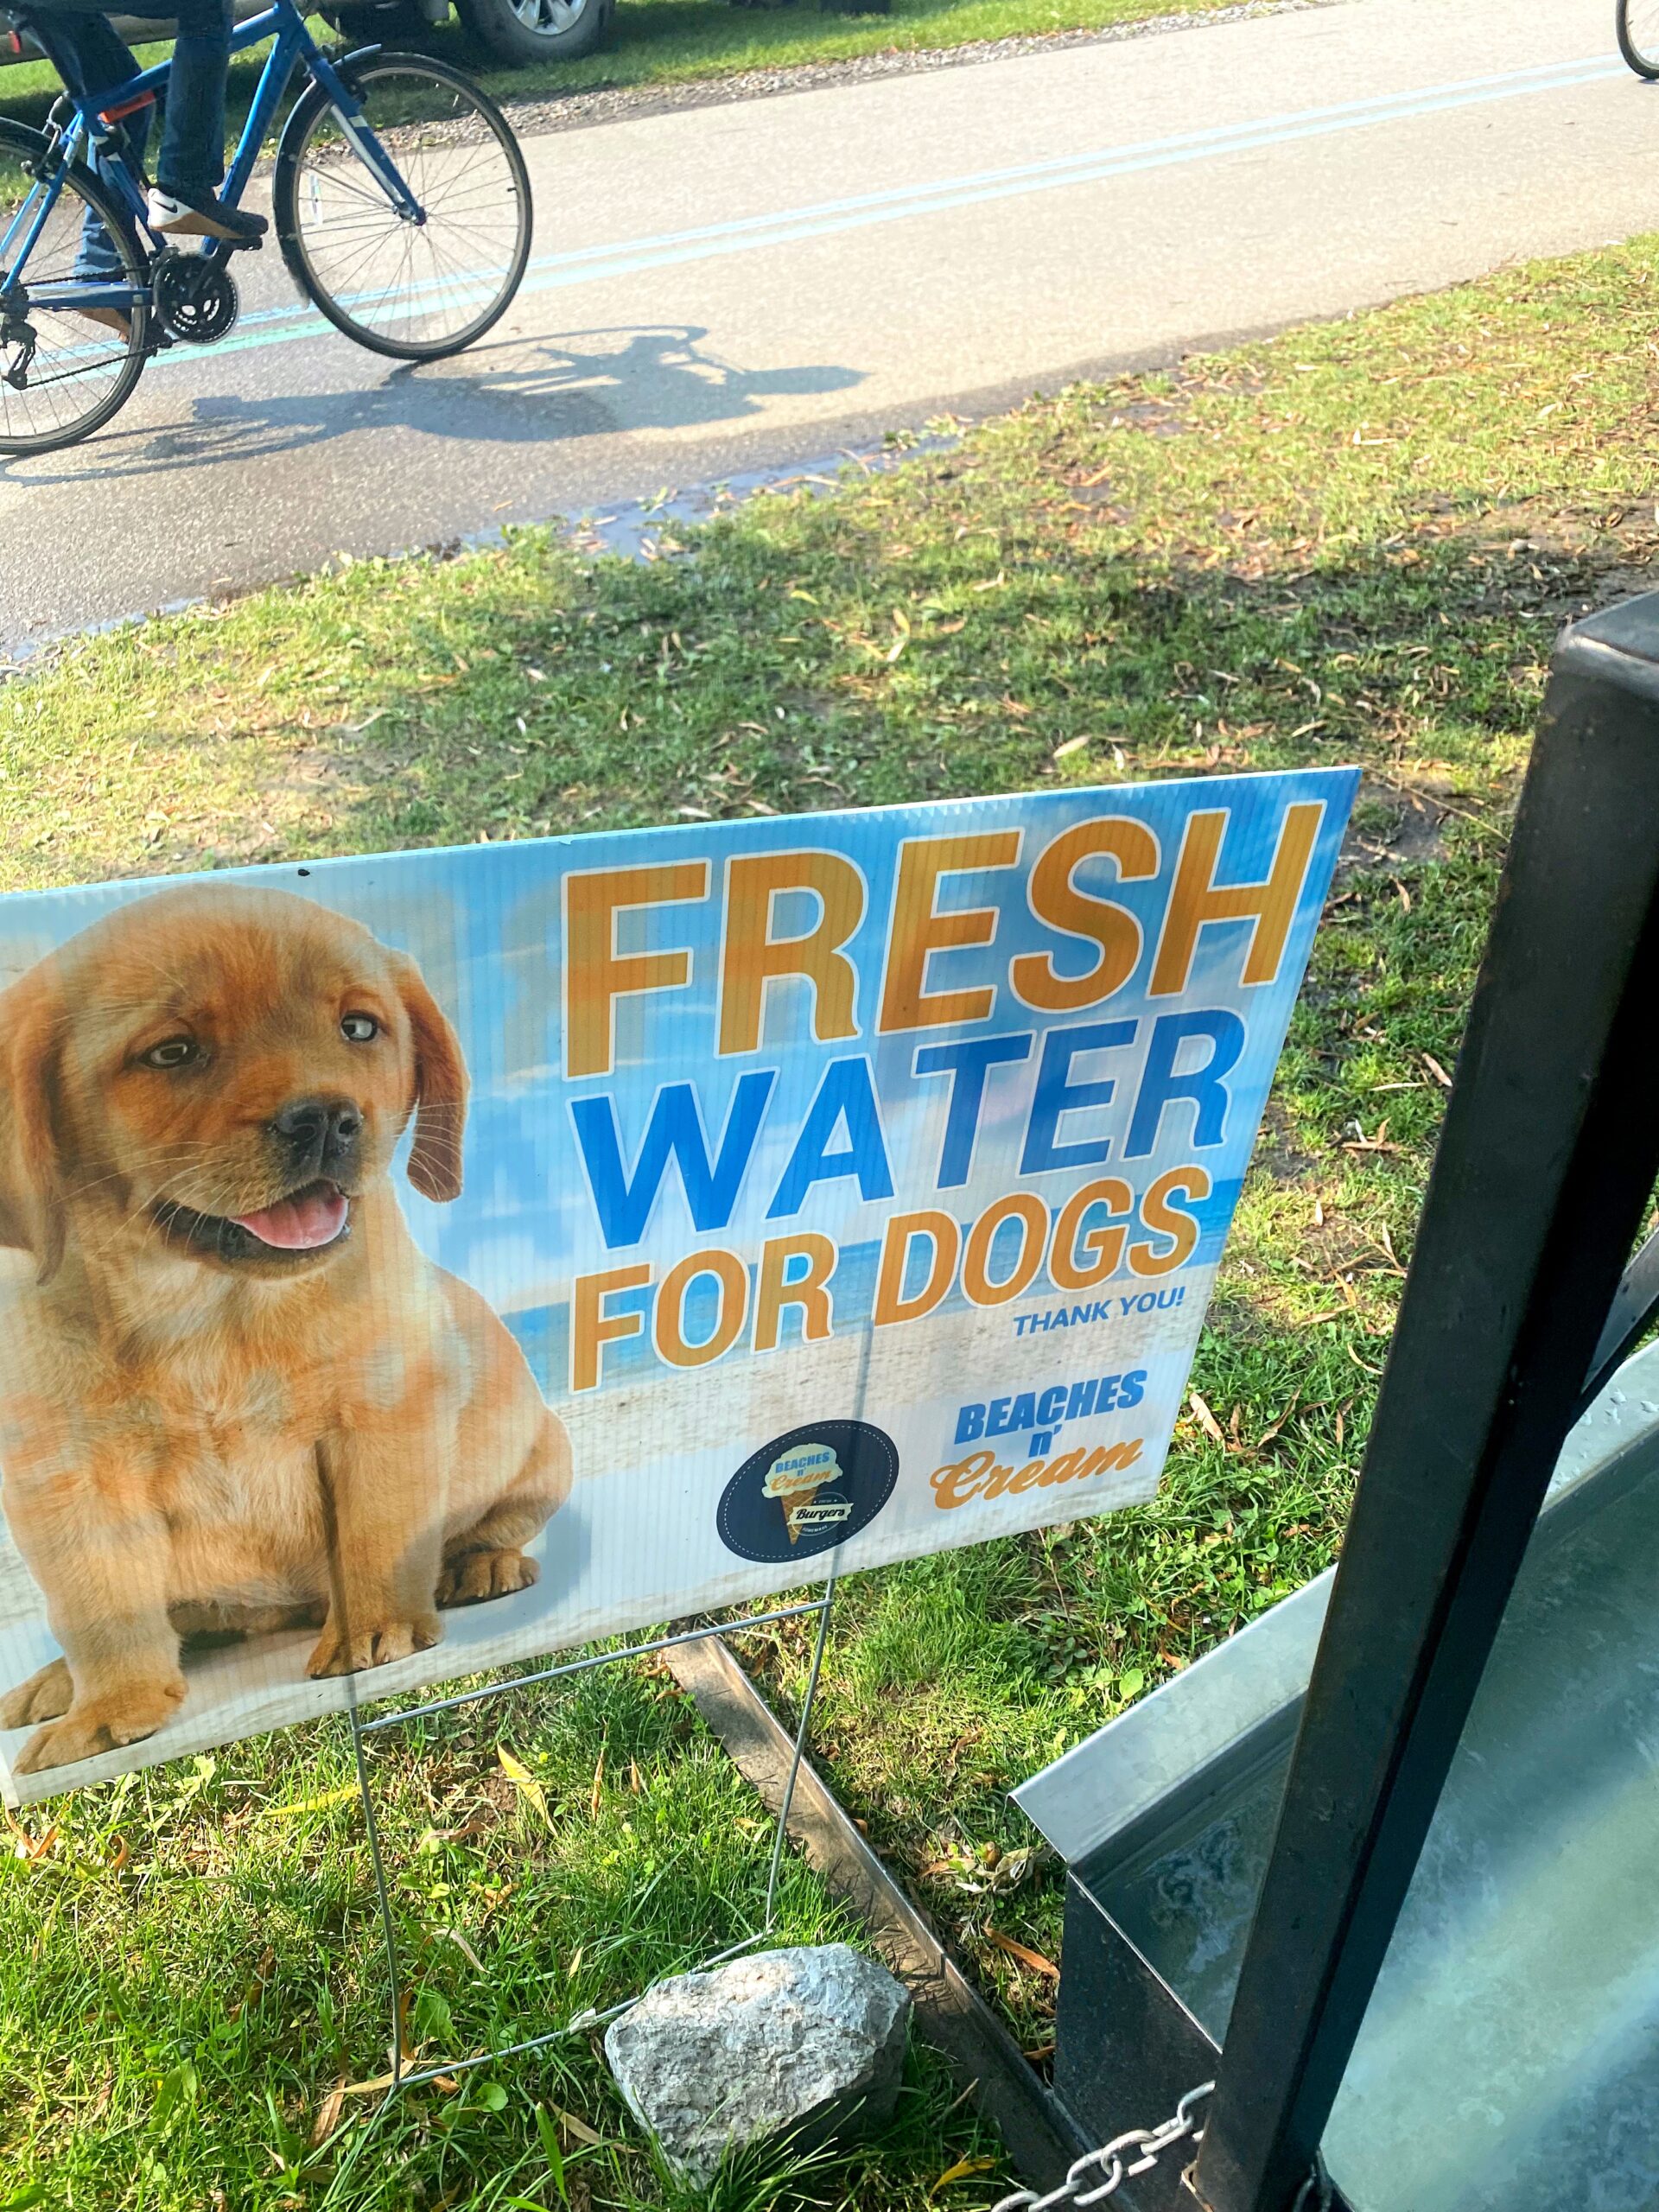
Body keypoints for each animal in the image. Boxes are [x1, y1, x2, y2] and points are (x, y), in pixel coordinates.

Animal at [0, 889, 570, 1770]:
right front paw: (109, 1705)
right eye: (173, 1052)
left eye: (360, 1029)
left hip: (542, 1452)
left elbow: (377, 1534)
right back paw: (59, 1682)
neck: (208, 1314)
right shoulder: (63, 1478)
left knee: (492, 1524)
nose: (327, 1120)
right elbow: (98, 1610)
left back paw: (481, 1564)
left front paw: (375, 1627)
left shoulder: (384, 1415)